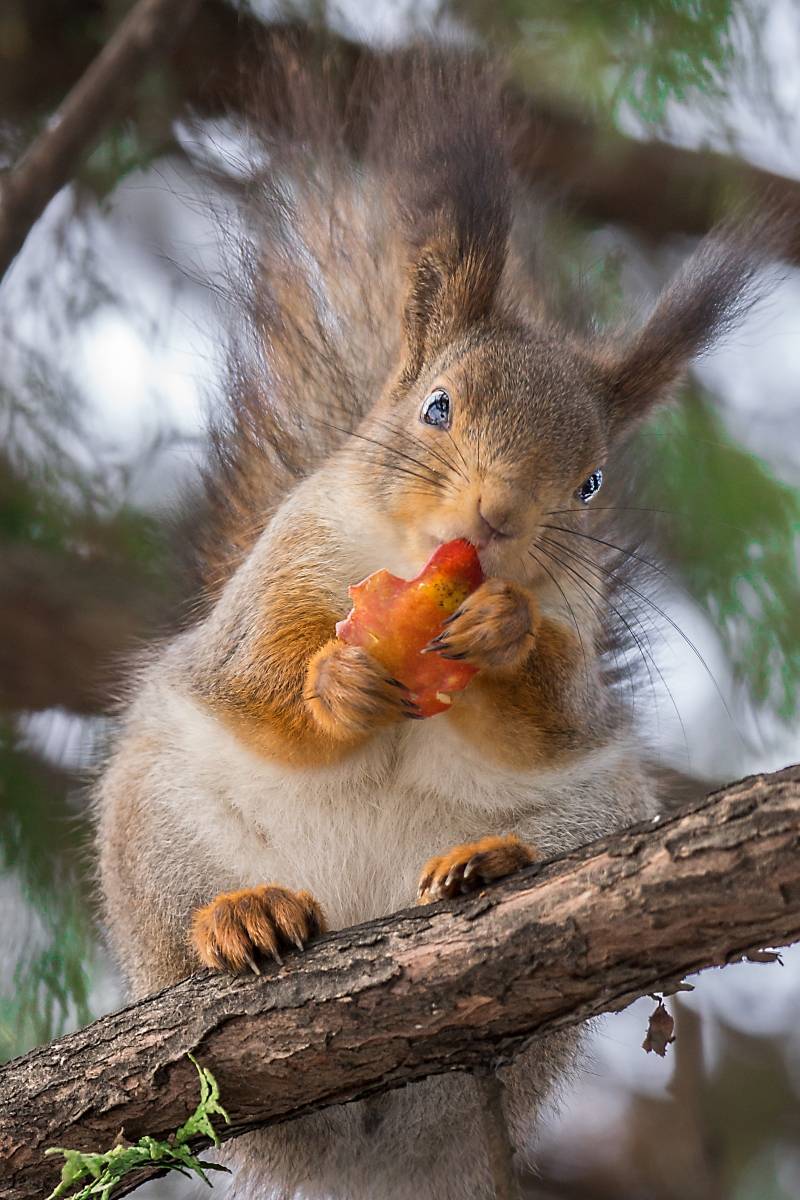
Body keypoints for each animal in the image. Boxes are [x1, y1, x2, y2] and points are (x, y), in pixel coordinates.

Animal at [96, 47, 783, 1200]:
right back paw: (239, 917)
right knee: (182, 913)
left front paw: (504, 632)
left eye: (590, 481)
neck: (415, 570)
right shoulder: (277, 576)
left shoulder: (575, 656)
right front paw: (333, 685)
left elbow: (555, 713)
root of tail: (371, 1140)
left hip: (597, 821)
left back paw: (489, 866)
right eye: (436, 408)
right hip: (157, 821)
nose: (496, 520)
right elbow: (255, 676)